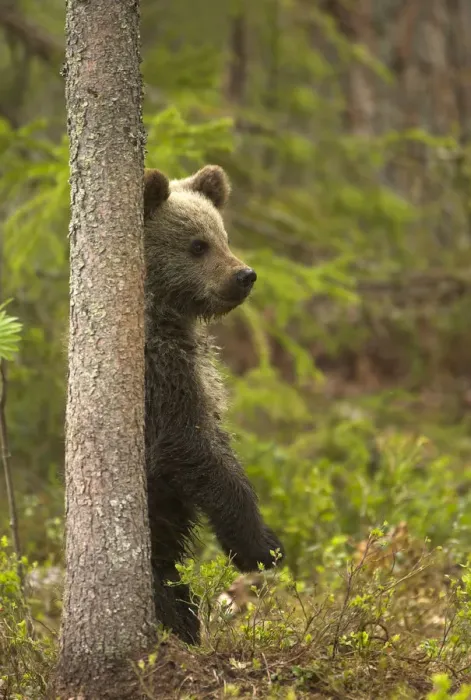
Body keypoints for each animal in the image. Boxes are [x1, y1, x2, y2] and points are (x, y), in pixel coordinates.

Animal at [143, 164, 285, 645]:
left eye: (223, 236)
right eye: (196, 245)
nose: (245, 275)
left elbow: (218, 441)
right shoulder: (161, 378)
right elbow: (191, 448)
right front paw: (262, 546)